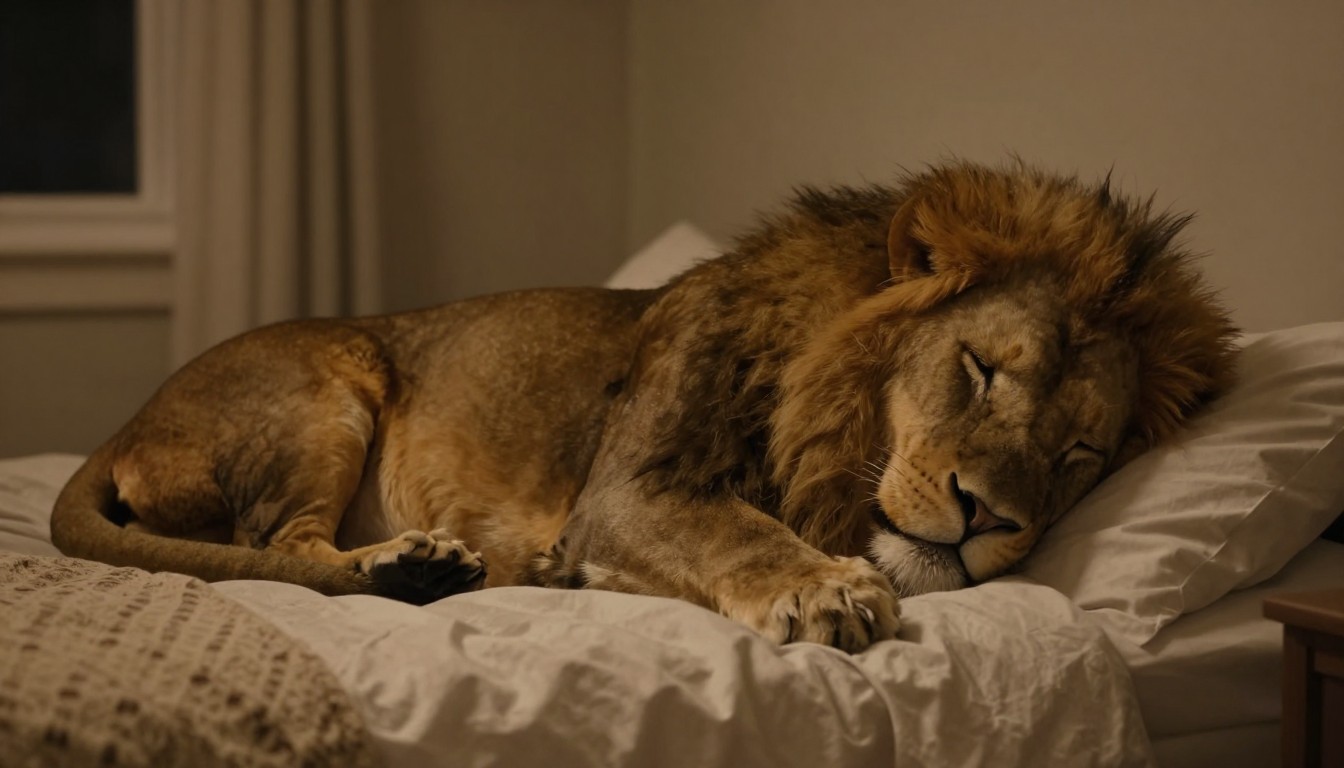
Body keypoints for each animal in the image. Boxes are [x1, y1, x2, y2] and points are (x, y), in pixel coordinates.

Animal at [51, 159, 1237, 653]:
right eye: (981, 368)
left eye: (1079, 451)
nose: (988, 511)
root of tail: (123, 425)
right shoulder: (627, 492)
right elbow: (737, 531)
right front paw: (827, 591)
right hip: (328, 387)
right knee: (278, 546)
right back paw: (417, 566)